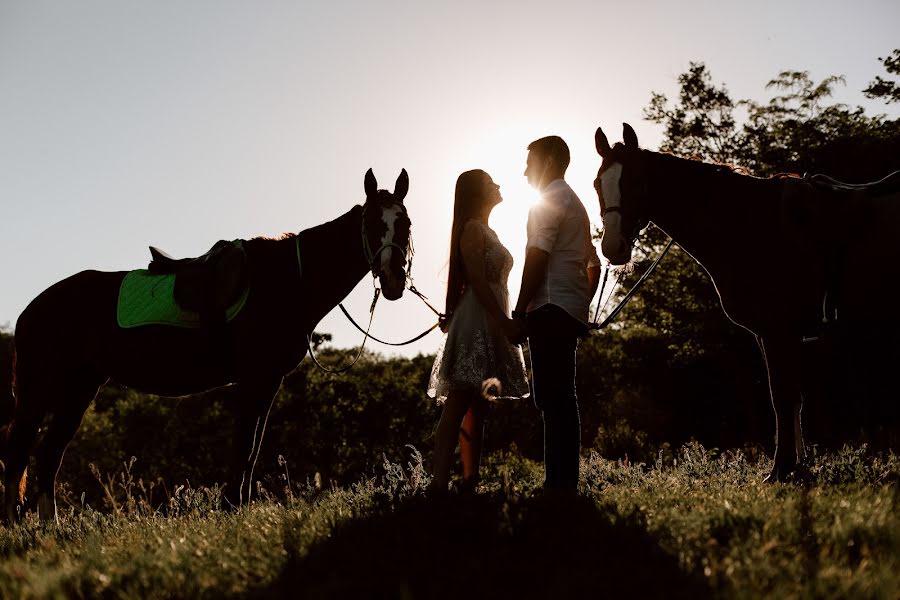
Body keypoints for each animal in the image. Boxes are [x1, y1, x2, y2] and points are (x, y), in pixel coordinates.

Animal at [1, 168, 412, 520]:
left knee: (49, 454)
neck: (288, 280)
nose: (394, 279)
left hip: (80, 389)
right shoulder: (254, 379)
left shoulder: (268, 382)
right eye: (374, 224)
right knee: (19, 450)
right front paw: (231, 507)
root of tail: (32, 308)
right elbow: (244, 446)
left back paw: (52, 527)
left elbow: (252, 449)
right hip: (41, 389)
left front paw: (239, 506)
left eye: (405, 223)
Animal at [592, 123, 900, 482]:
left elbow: (782, 397)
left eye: (637, 182)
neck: (748, 224)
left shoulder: (779, 331)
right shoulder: (775, 335)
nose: (613, 247)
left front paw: (781, 469)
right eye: (598, 184)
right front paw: (798, 465)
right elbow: (792, 398)